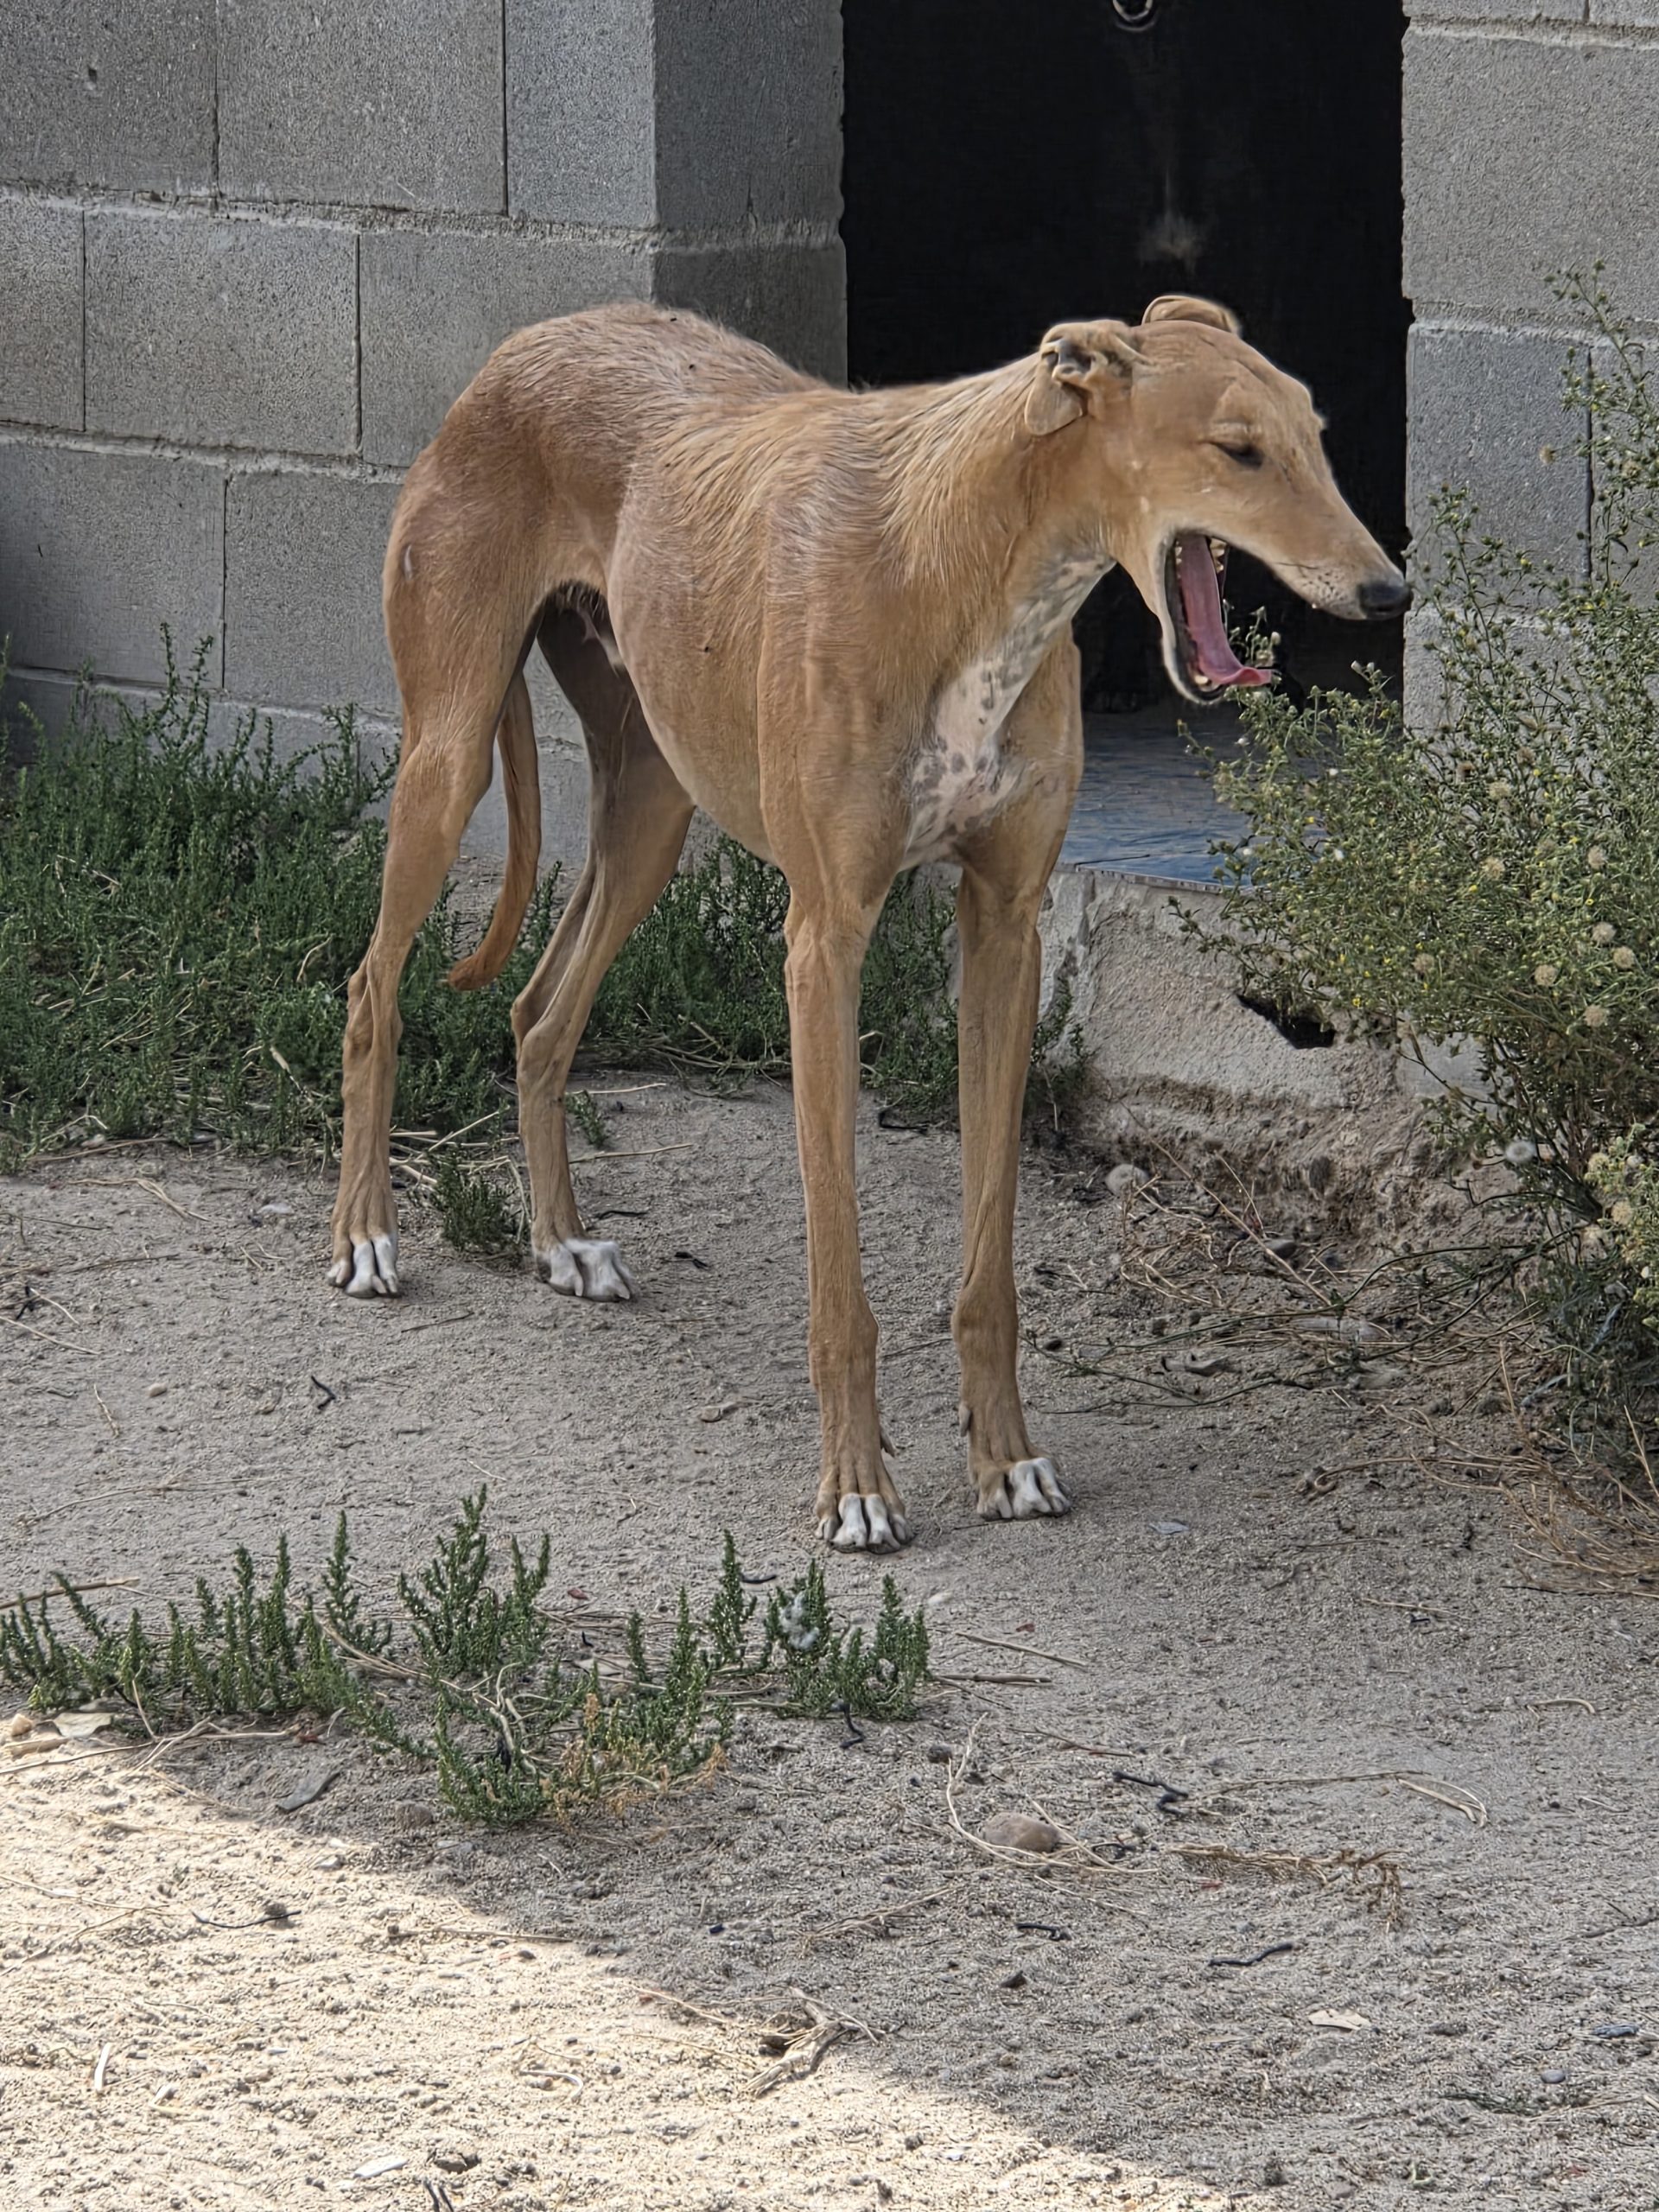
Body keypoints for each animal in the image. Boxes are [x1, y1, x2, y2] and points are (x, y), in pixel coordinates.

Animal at [328, 293, 1405, 1550]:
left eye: (1316, 436)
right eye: (1240, 449)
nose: (1389, 596)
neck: (970, 565)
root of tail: (524, 343)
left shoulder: (1007, 928)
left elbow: (989, 1267)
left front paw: (1006, 1461)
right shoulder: (824, 942)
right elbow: (840, 1279)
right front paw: (856, 1488)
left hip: (651, 809)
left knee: (540, 1016)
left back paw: (560, 1244)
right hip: (448, 758)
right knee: (373, 989)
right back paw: (364, 1237)